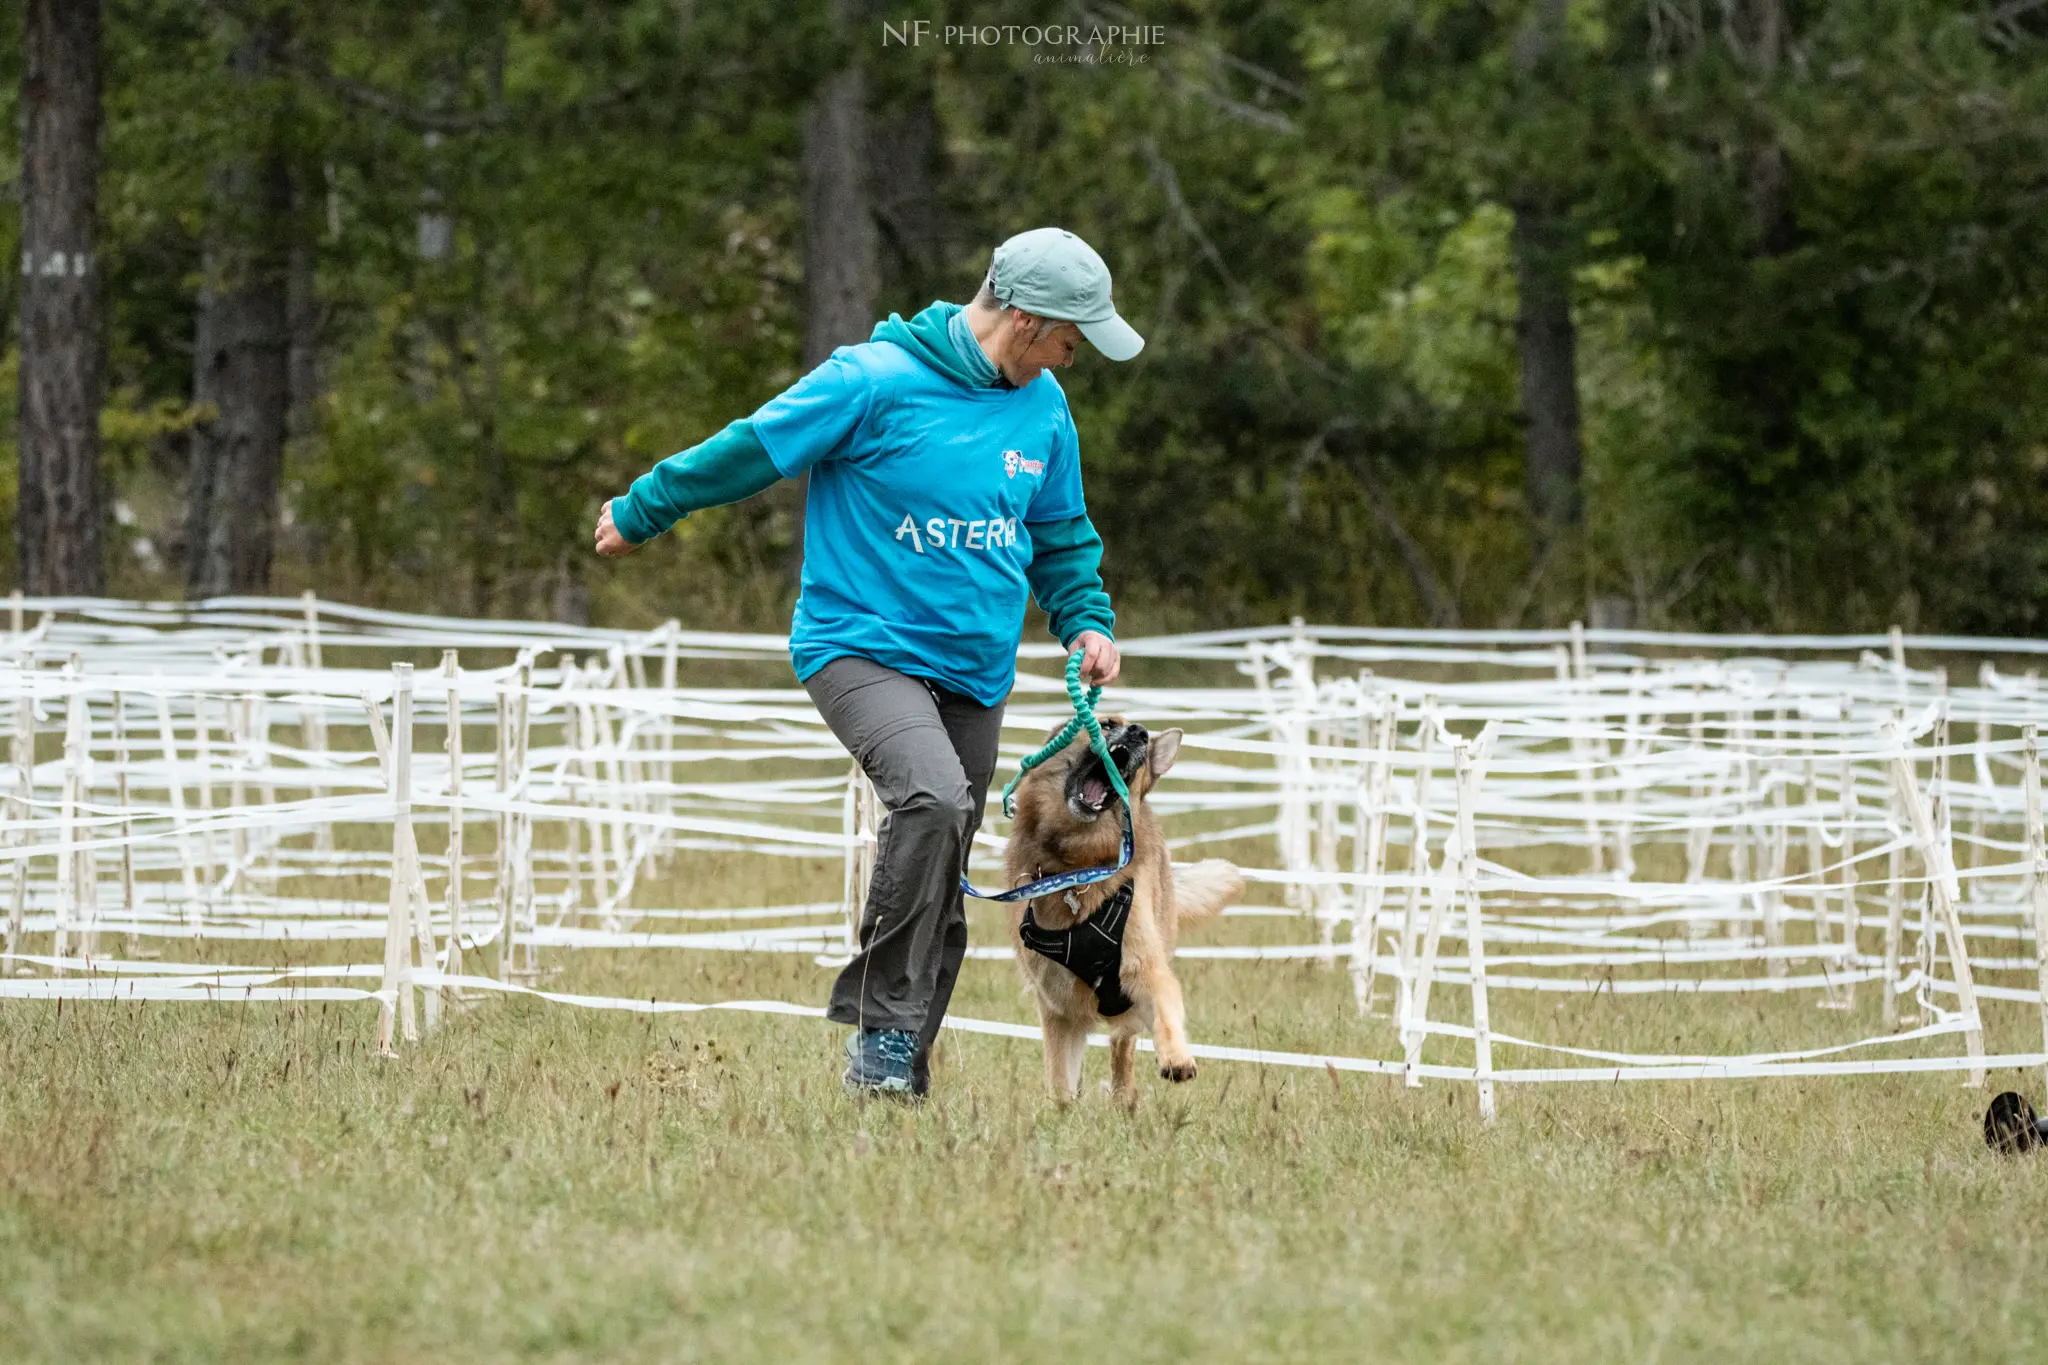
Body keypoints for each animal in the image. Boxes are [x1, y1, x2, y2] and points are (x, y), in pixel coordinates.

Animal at [999, 720, 1236, 1105]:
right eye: (1106, 723)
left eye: (1140, 733)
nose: (1139, 732)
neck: (1080, 864)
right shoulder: (1057, 1006)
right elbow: (1061, 1081)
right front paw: (1062, 1110)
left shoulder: (1145, 969)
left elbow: (1164, 1010)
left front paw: (1177, 1058)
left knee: (1122, 1044)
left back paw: (1124, 1097)